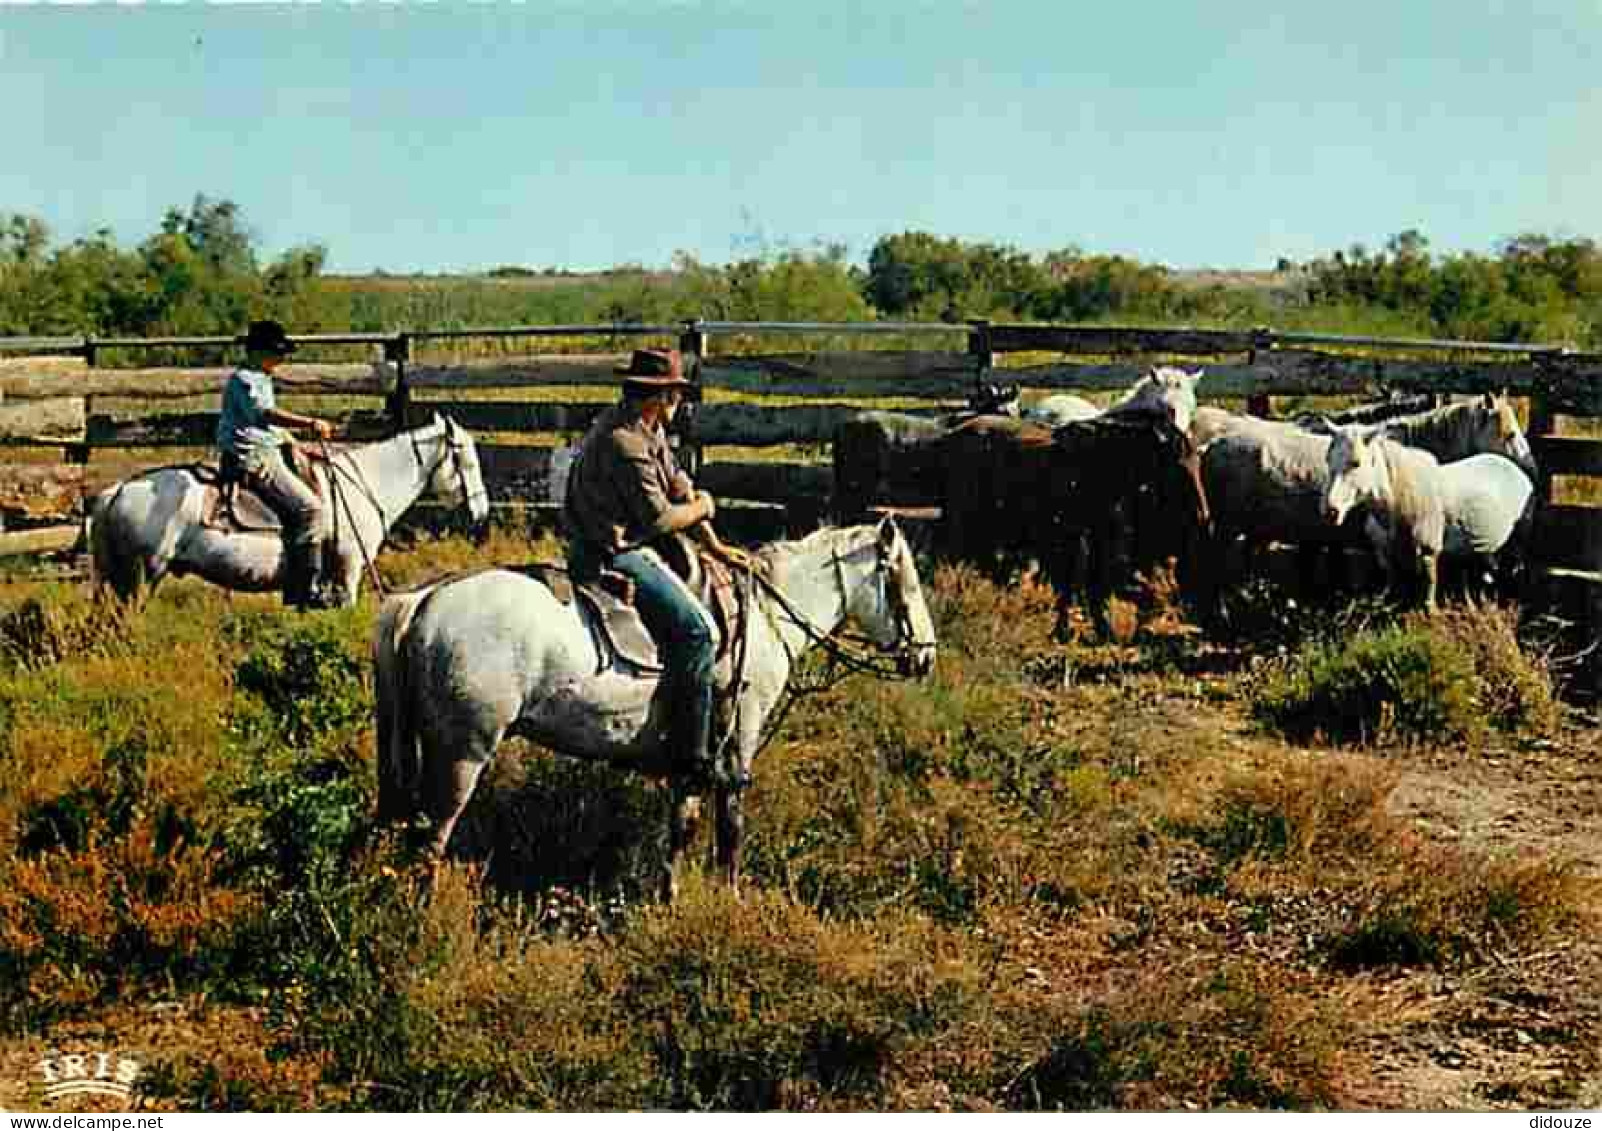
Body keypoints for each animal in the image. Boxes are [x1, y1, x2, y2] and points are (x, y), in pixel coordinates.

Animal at [86, 413, 483, 602]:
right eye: (467, 459)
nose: (480, 513)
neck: (362, 487)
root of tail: (117, 491)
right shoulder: (350, 567)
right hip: (142, 575)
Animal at [373, 519, 935, 897]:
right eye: (905, 582)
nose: (927, 656)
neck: (765, 617)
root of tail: (423, 600)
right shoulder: (736, 752)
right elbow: (729, 834)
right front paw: (731, 903)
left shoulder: (690, 759)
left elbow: (680, 830)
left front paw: (669, 900)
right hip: (461, 755)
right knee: (430, 839)